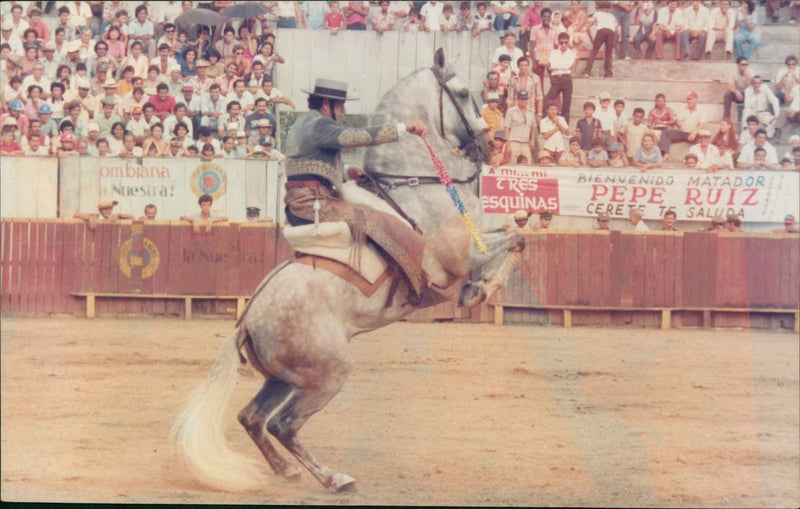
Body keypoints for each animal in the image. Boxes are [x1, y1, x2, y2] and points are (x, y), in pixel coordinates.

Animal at [170, 47, 524, 492]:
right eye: (462, 91)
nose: (491, 145)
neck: (416, 181)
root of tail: (247, 321)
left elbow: (515, 230)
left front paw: (478, 288)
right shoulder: (457, 256)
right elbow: (516, 238)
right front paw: (482, 288)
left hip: (284, 378)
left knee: (252, 417)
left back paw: (287, 471)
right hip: (329, 373)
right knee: (284, 425)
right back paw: (335, 479)